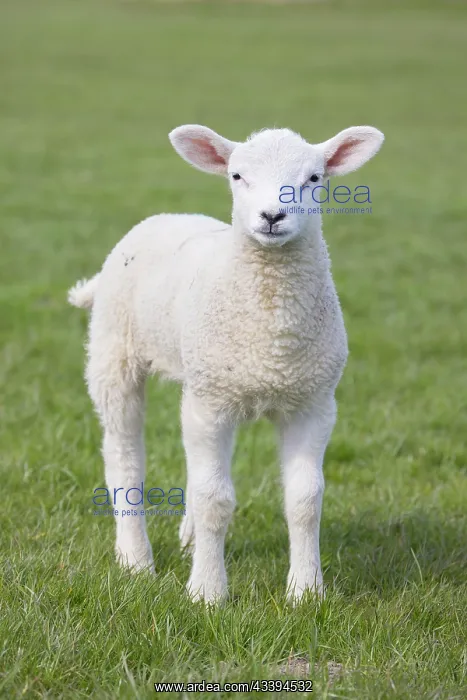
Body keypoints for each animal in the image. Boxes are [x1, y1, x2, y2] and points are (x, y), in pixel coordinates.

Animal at [69, 123, 384, 603]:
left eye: (314, 178)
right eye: (237, 176)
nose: (272, 216)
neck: (273, 337)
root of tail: (168, 216)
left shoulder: (313, 403)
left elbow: (305, 500)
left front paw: (306, 592)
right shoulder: (212, 404)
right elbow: (214, 499)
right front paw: (207, 592)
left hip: (203, 377)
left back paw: (188, 539)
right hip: (115, 353)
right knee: (124, 456)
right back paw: (135, 560)